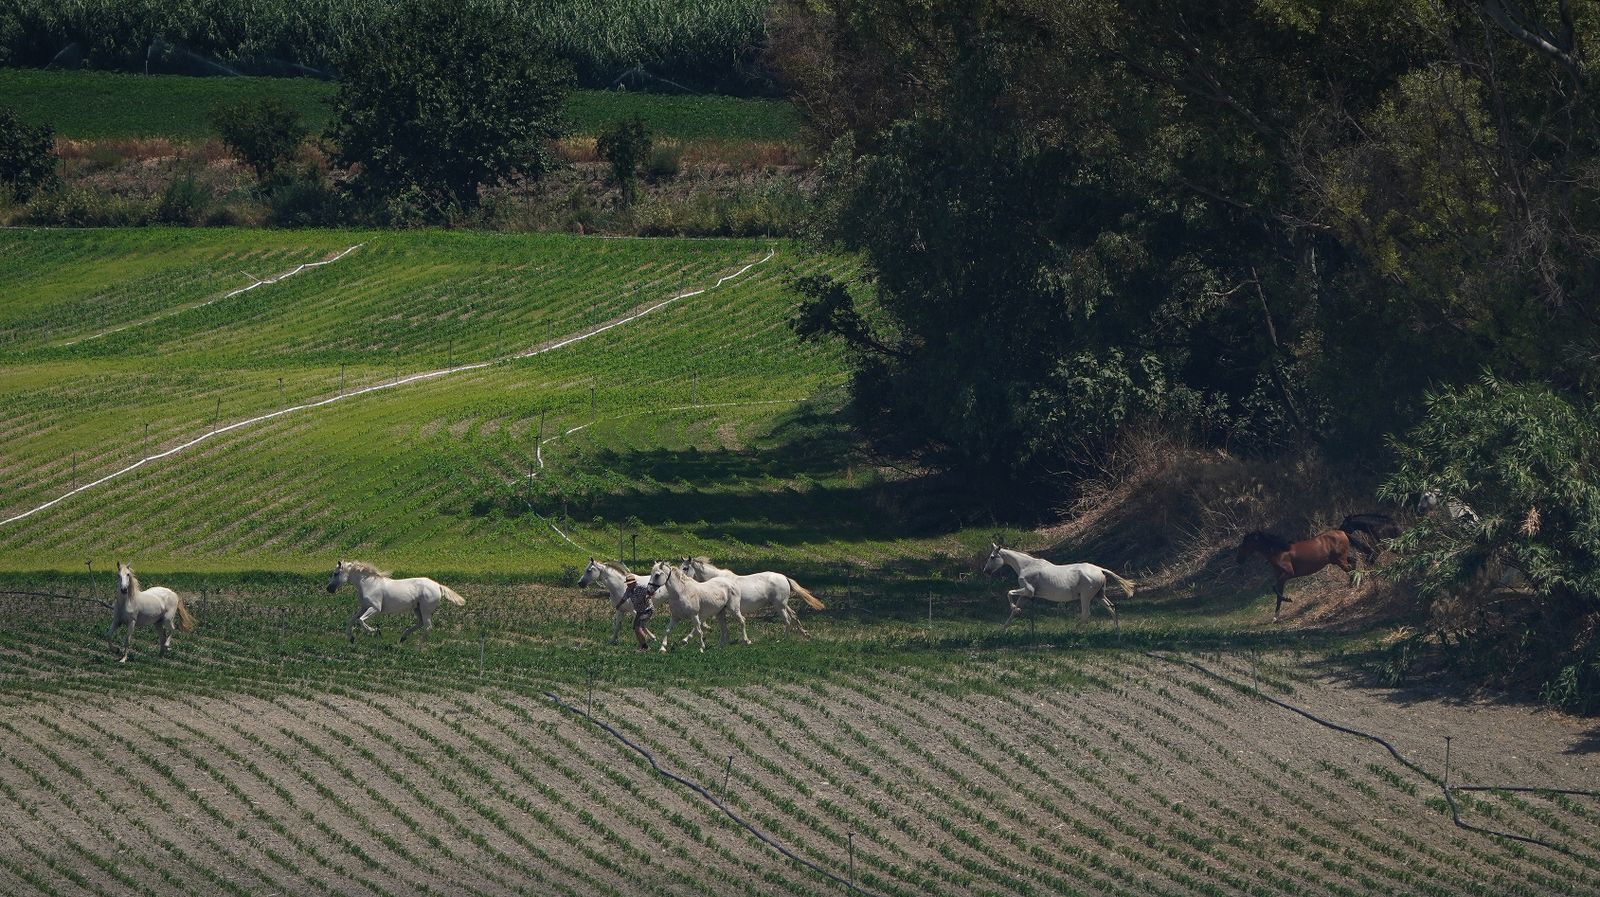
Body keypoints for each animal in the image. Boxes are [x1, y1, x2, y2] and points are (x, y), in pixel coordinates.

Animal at [326, 560, 465, 644]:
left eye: (336, 573)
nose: (329, 589)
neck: (369, 584)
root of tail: (438, 586)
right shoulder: (363, 607)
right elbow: (352, 620)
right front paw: (351, 638)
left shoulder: (375, 608)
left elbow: (360, 620)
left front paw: (376, 631)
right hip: (417, 608)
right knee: (420, 624)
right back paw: (402, 638)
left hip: (425, 610)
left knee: (427, 627)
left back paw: (418, 648)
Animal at [679, 556, 824, 642]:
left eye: (685, 568)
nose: (679, 579)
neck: (718, 580)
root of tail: (784, 577)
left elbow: (703, 622)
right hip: (783, 604)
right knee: (793, 615)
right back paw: (805, 634)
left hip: (779, 606)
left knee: (787, 620)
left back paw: (782, 640)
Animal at [981, 544, 1133, 630]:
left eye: (992, 557)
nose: (985, 571)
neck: (1026, 566)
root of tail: (1100, 569)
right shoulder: (1026, 595)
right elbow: (1013, 611)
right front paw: (1004, 628)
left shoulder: (1028, 591)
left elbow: (1009, 592)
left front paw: (1014, 609)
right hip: (1099, 596)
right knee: (1112, 607)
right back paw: (1116, 632)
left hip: (1086, 597)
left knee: (1086, 614)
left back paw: (1074, 629)